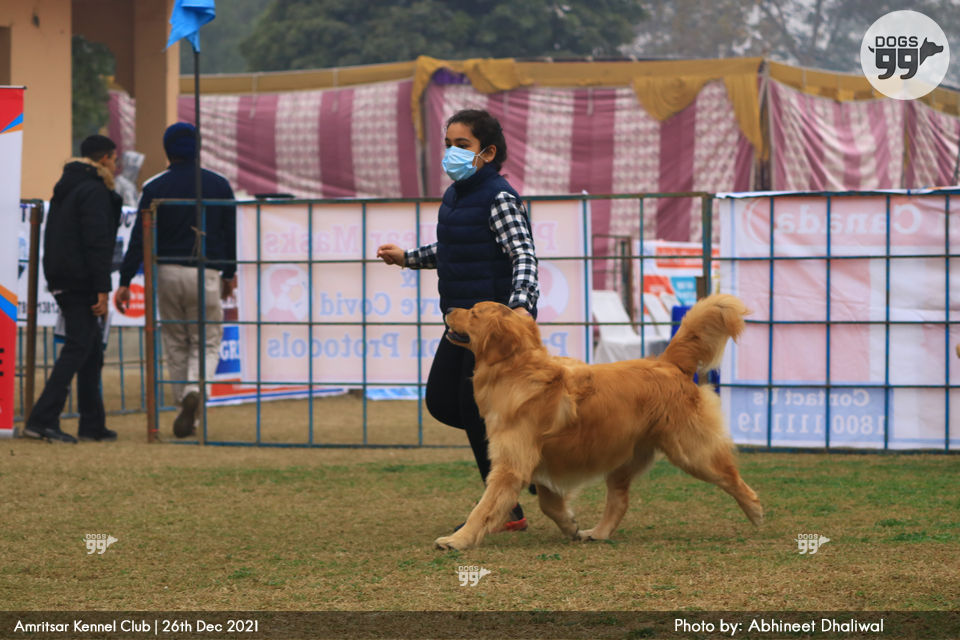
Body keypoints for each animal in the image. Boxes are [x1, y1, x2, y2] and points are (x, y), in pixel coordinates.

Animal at [435, 294, 763, 550]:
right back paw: (599, 532)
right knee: (619, 501)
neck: (516, 370)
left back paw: (755, 510)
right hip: (624, 456)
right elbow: (549, 503)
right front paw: (571, 526)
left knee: (730, 476)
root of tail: (667, 363)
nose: (447, 308)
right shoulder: (538, 461)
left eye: (474, 312)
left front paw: (457, 540)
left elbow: (485, 507)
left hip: (692, 452)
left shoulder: (511, 465)